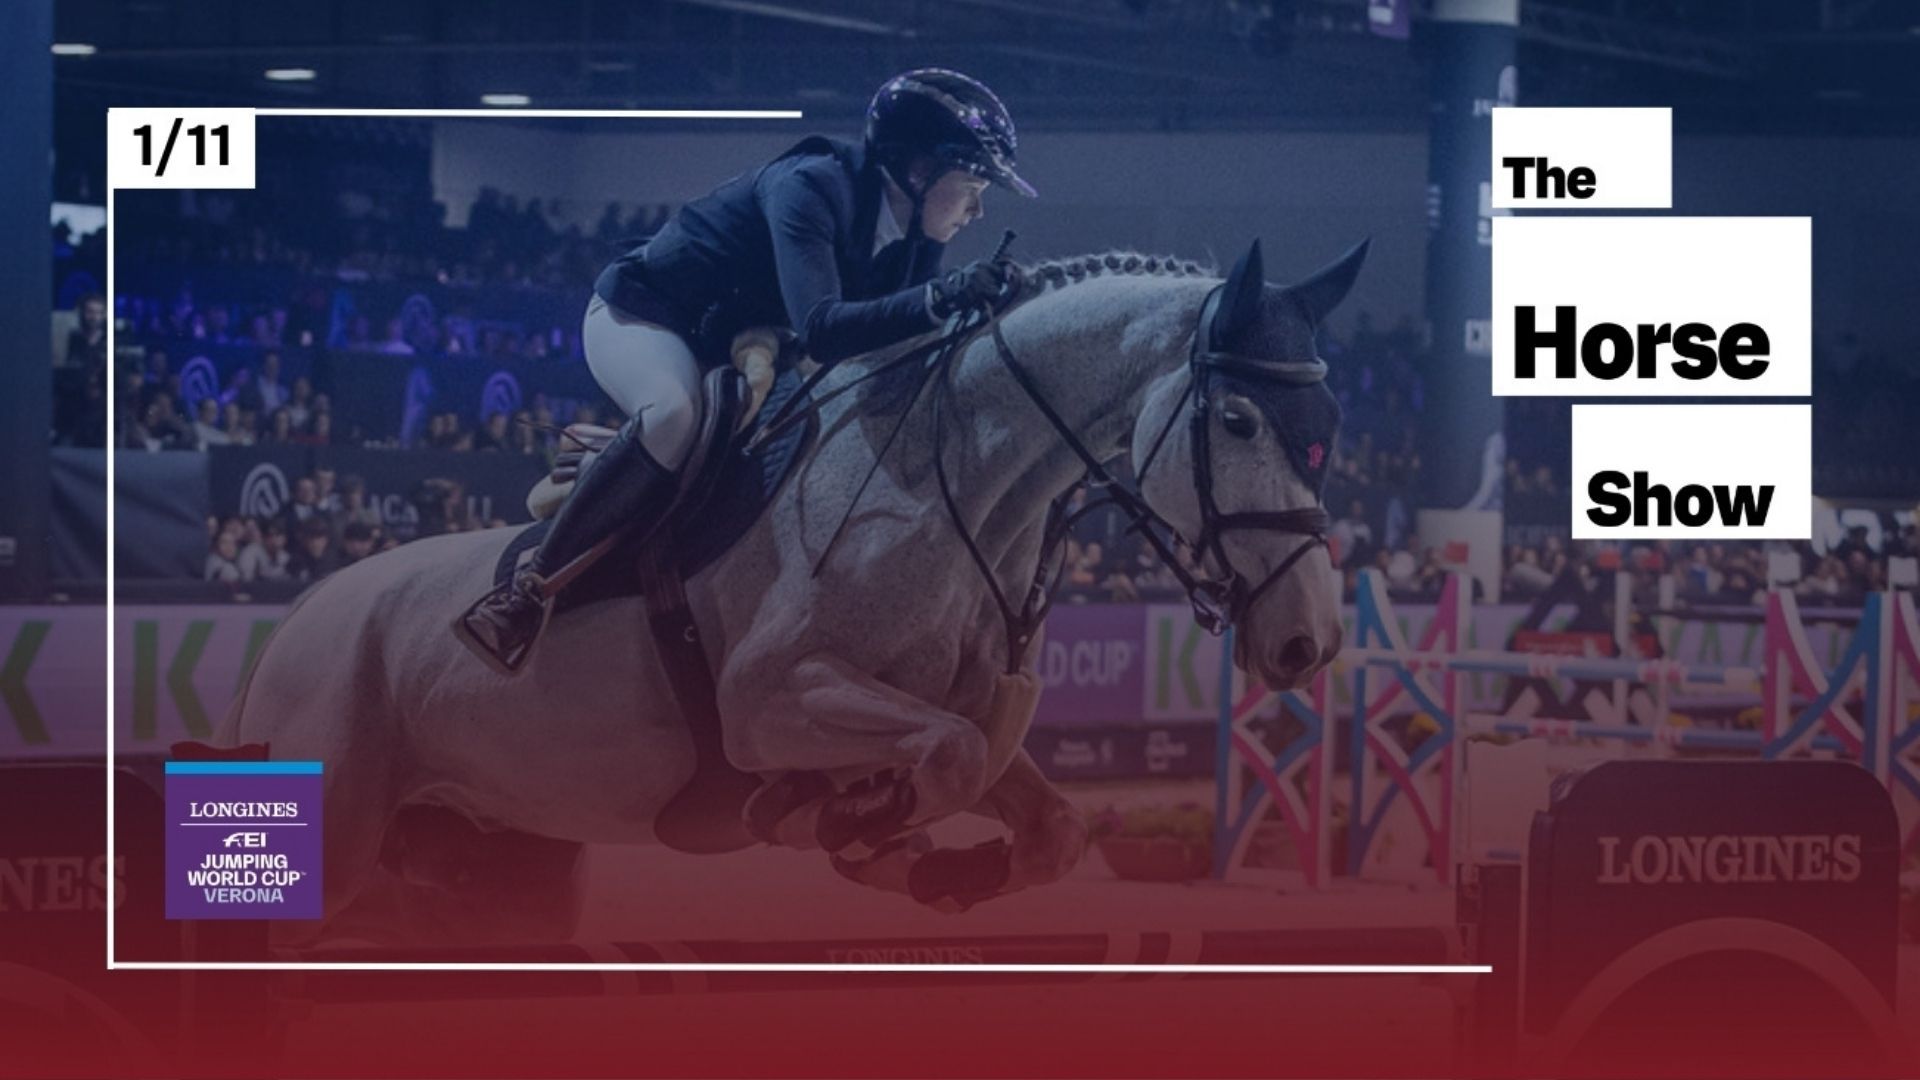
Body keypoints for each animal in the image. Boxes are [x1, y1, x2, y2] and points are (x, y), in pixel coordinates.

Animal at [220, 238, 1364, 944]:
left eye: (1330, 428)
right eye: (1239, 423)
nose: (1307, 643)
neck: (951, 486)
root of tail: (295, 621)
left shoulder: (953, 714)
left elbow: (1044, 822)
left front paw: (916, 862)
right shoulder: (772, 700)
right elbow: (938, 760)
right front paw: (848, 823)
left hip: (478, 853)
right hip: (332, 822)